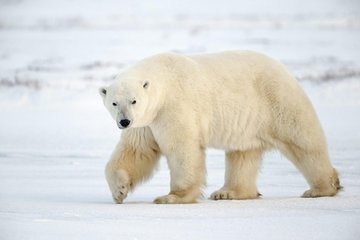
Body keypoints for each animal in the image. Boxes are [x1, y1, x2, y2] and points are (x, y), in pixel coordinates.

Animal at [98, 51, 340, 204]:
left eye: (134, 100)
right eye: (114, 103)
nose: (124, 121)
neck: (163, 81)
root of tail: (284, 69)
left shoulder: (173, 107)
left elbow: (182, 149)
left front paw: (172, 197)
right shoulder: (147, 121)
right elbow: (136, 151)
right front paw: (119, 191)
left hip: (277, 100)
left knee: (304, 141)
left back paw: (322, 188)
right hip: (249, 123)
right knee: (242, 154)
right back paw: (229, 193)